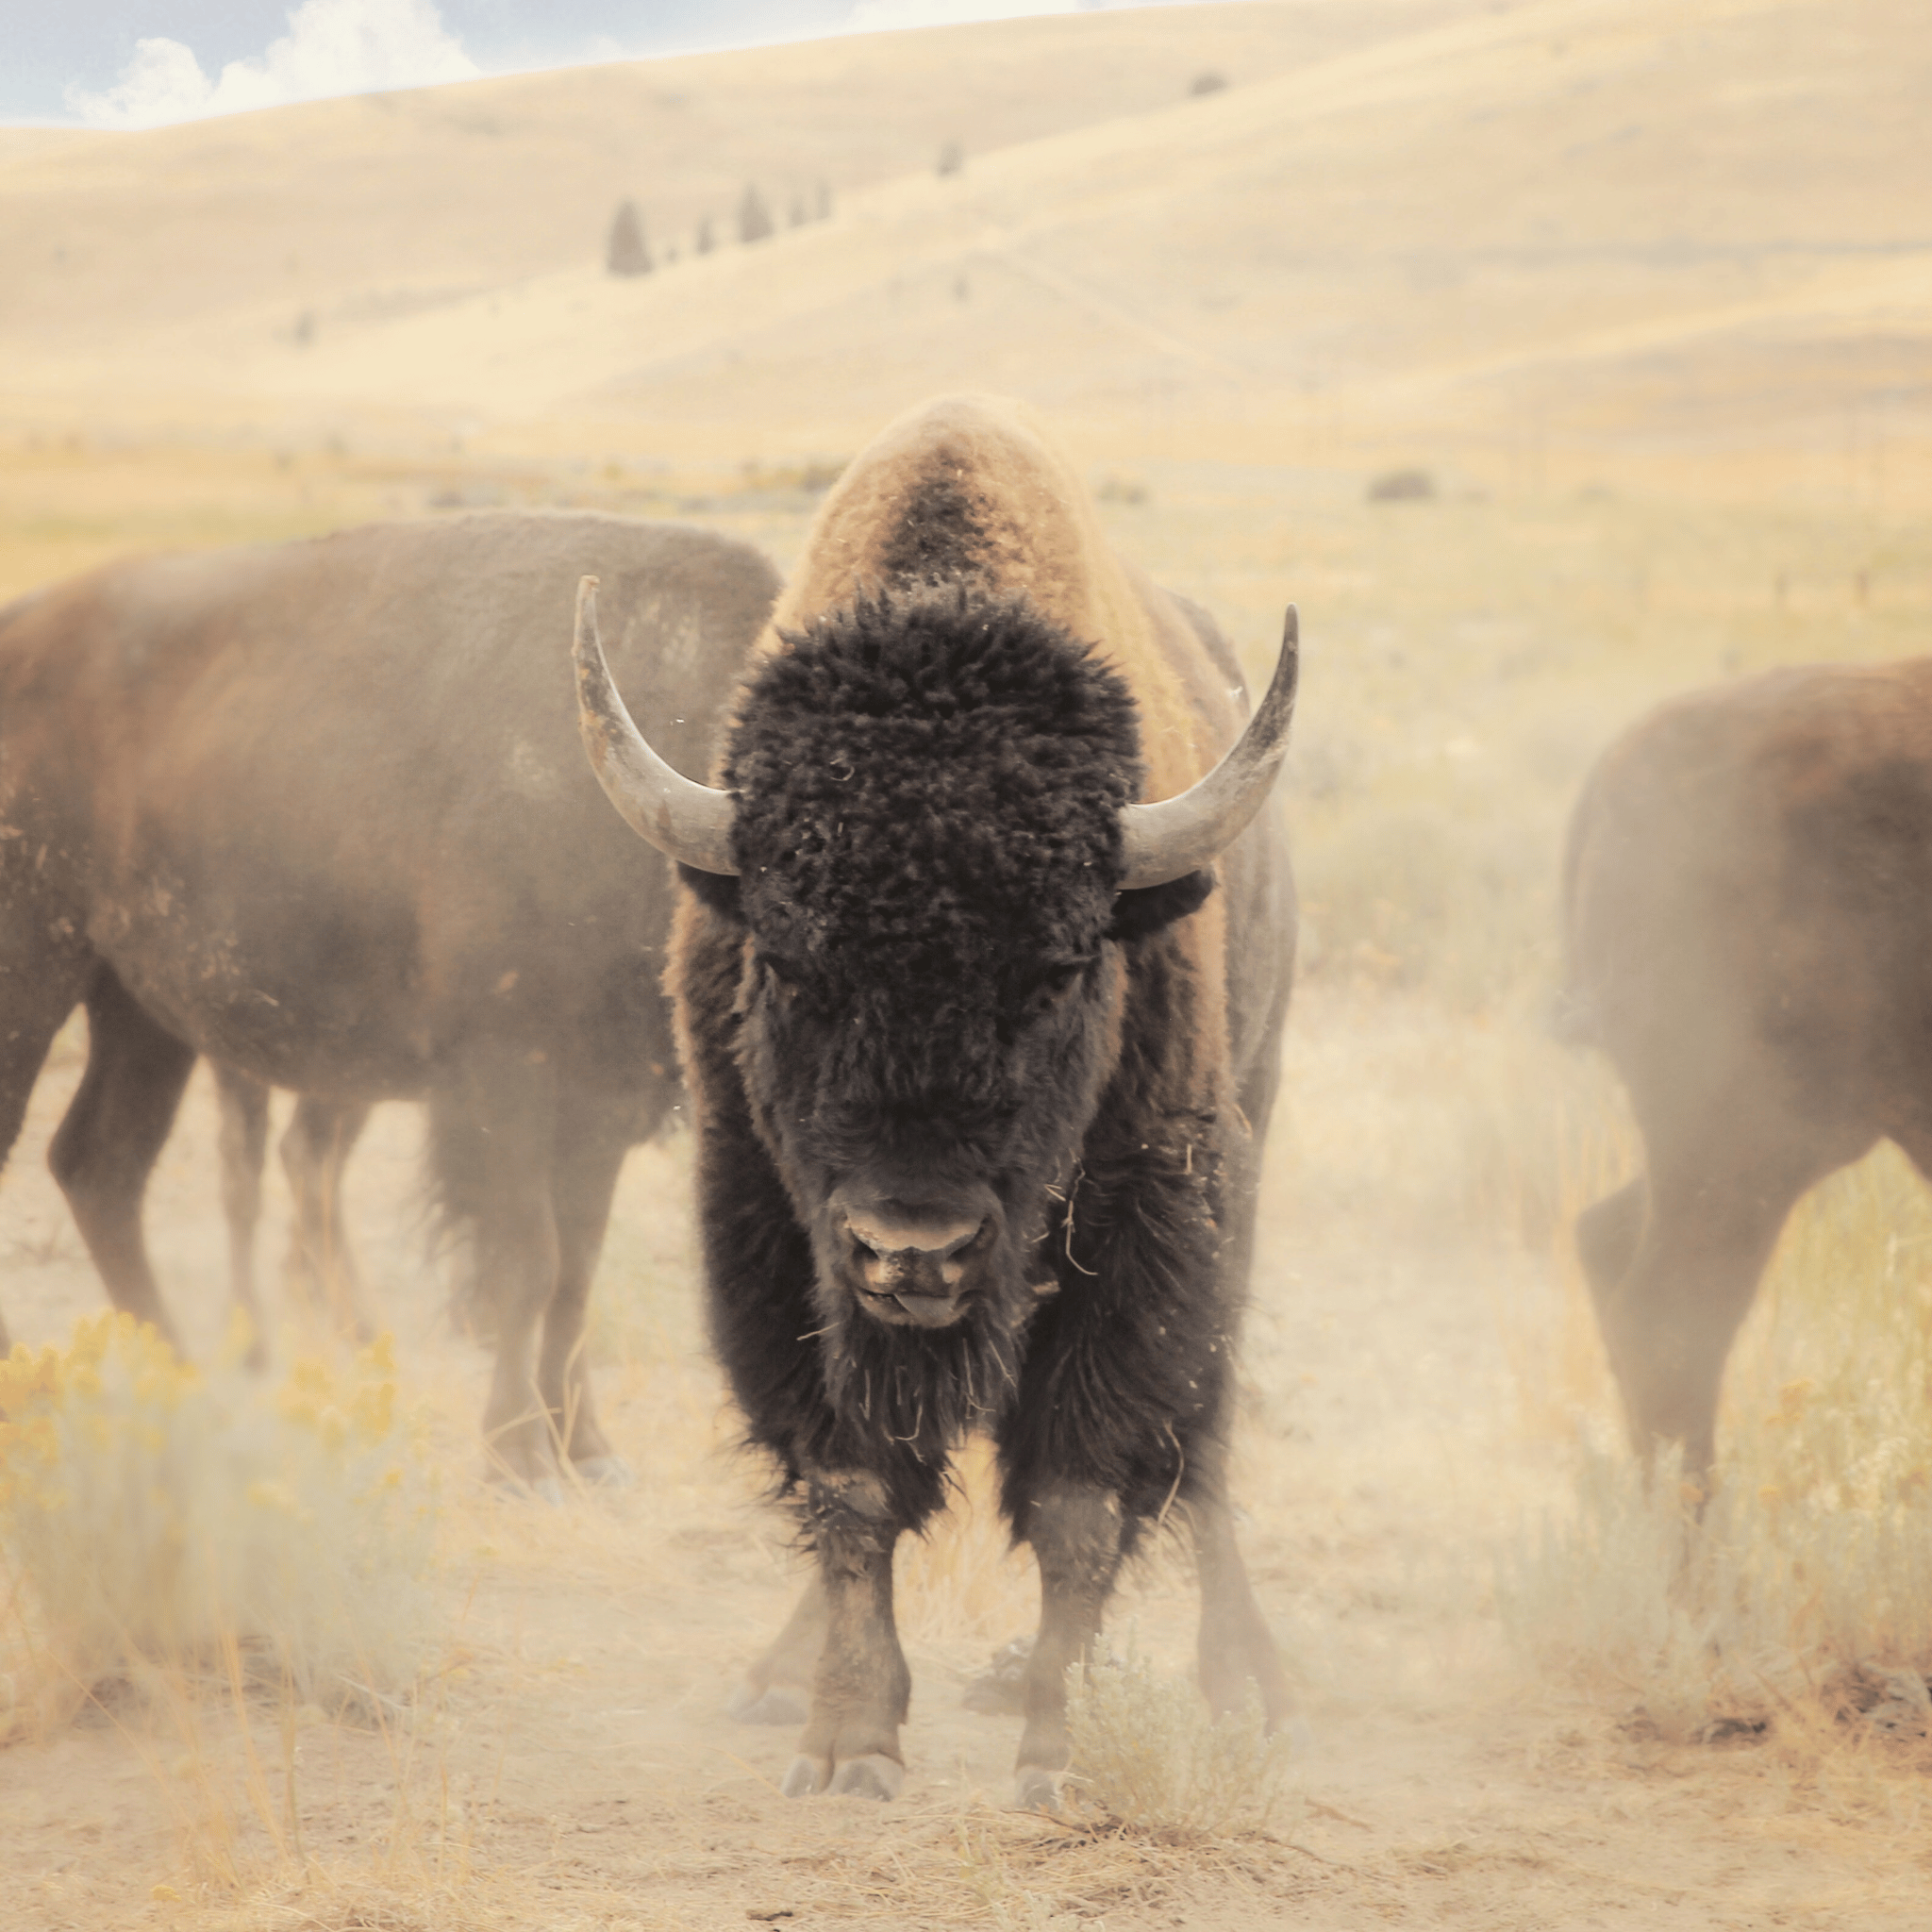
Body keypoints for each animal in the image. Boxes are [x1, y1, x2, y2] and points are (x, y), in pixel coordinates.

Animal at [0, 511, 780, 1483]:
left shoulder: (599, 1106)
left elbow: (575, 1271)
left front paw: (592, 1454)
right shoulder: (504, 1083)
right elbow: (527, 1259)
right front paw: (521, 1458)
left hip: (139, 1011)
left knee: (100, 1166)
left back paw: (190, 1394)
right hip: (37, 969)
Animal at [573, 395, 1298, 1805]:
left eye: (1063, 966)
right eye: (790, 961)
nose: (917, 1248)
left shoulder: (1147, 1231)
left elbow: (1081, 1498)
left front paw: (1056, 1752)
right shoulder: (771, 1232)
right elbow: (852, 1485)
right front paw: (846, 1740)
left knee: (1206, 1449)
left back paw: (1246, 1681)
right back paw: (775, 1672)